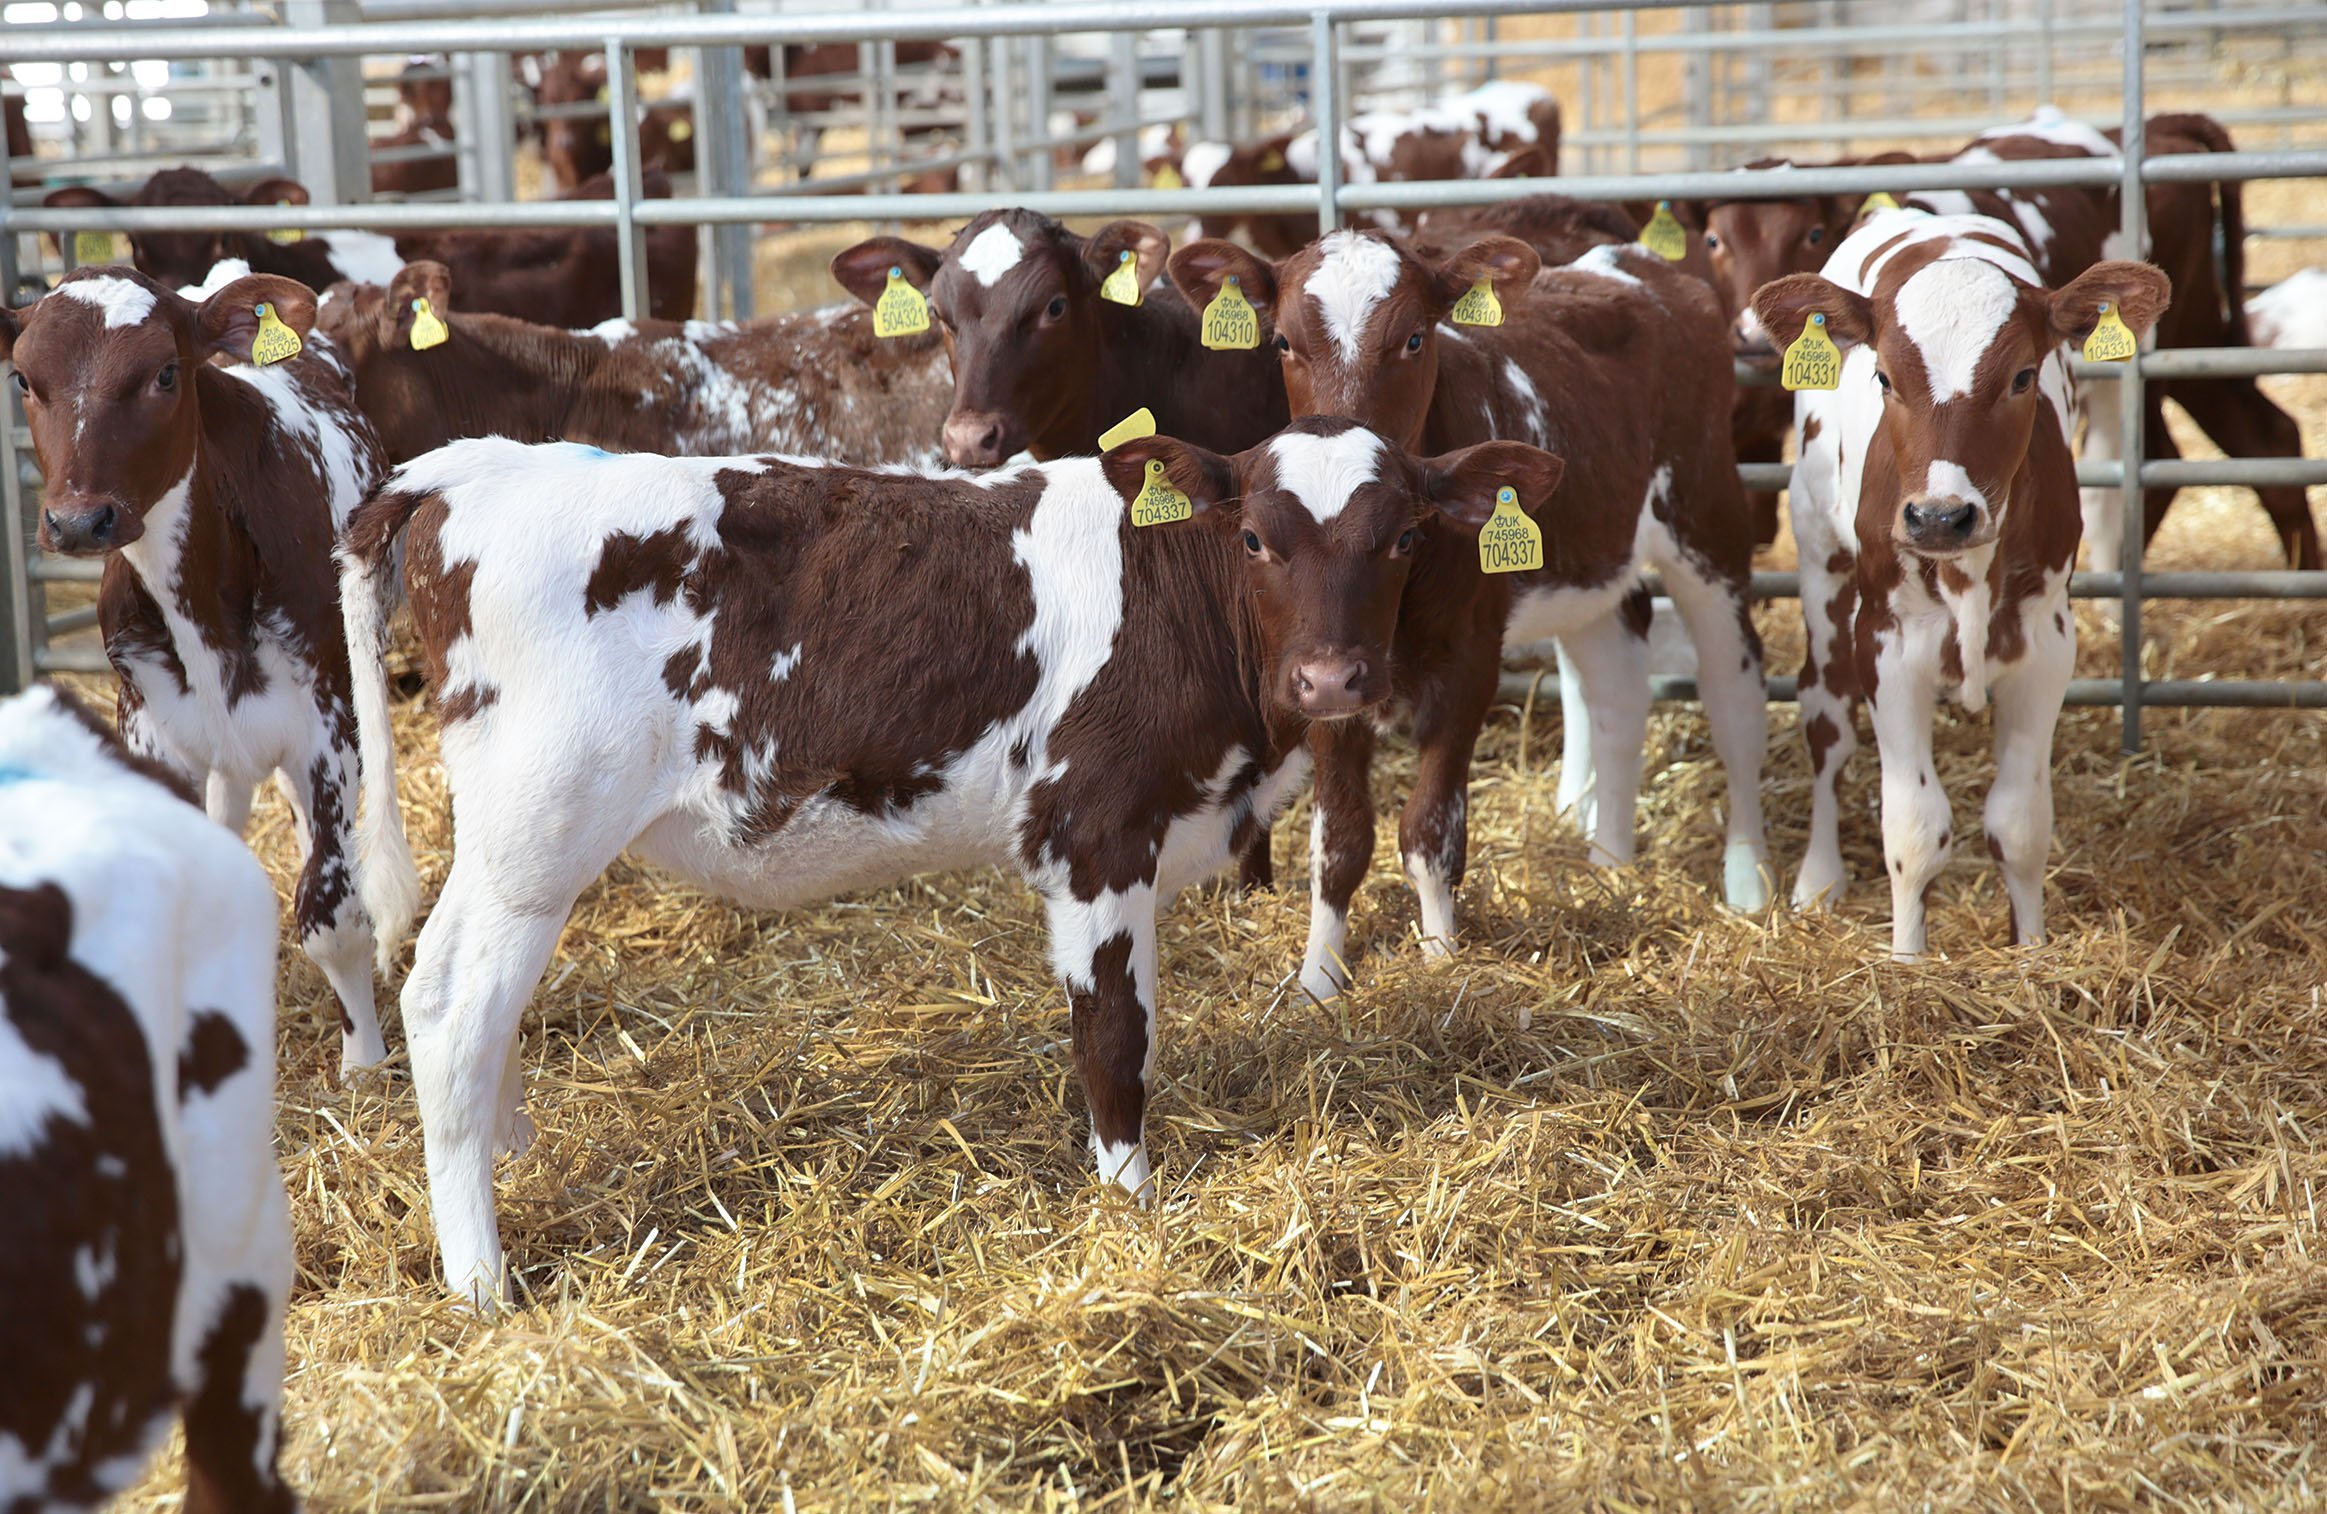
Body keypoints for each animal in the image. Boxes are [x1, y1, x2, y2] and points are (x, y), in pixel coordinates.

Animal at [0, 266, 417, 1074]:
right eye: (24, 379)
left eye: (166, 372)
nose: (77, 521)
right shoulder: (148, 725)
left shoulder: (329, 722)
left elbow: (331, 909)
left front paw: (364, 1059)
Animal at [334, 418, 1562, 1304]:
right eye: (1255, 537)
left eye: (1403, 538)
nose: (1332, 680)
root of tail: (474, 464)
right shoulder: (1093, 833)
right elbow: (1114, 1041)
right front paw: (1132, 1206)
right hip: (532, 830)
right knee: (448, 1000)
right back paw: (481, 1279)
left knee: (487, 1007)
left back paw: (516, 1159)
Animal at [1169, 231, 1771, 993]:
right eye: (1280, 340)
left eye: (1414, 337)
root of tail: (1632, 260)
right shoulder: (1318, 673)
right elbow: (1339, 841)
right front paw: (1318, 980)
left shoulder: (1469, 661)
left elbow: (1429, 828)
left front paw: (1440, 960)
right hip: (1596, 569)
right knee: (1615, 693)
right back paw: (1608, 865)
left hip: (1709, 519)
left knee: (1733, 697)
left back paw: (1748, 882)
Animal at [1751, 210, 2168, 957]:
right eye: (1884, 377)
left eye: (2023, 376)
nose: (1941, 516)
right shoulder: (1885, 645)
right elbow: (1914, 828)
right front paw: (1907, 958)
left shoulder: (2044, 645)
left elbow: (2019, 824)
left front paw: (2030, 950)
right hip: (1820, 562)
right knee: (1825, 717)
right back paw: (1819, 879)